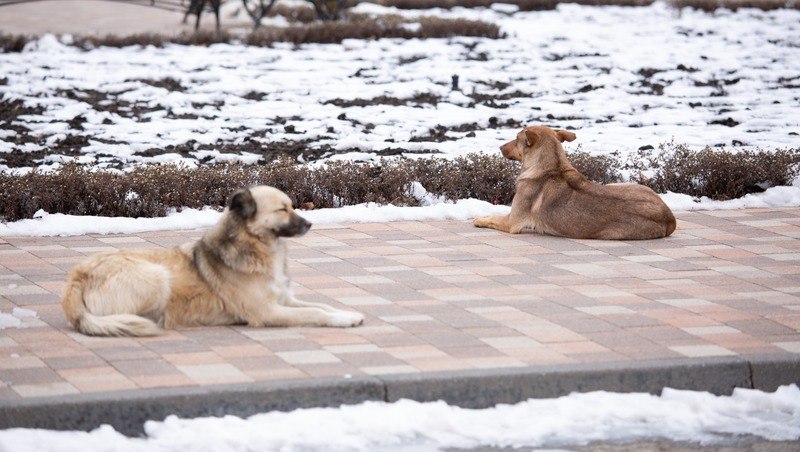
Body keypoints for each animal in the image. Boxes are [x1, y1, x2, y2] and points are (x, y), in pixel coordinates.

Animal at [62, 185, 362, 336]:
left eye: (291, 206)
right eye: (282, 209)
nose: (310, 223)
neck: (257, 248)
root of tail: (76, 279)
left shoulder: (284, 300)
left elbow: (322, 306)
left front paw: (347, 314)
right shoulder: (267, 312)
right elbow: (315, 313)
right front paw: (341, 321)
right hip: (156, 276)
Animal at [476, 125, 676, 240]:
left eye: (517, 139)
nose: (500, 147)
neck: (552, 167)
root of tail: (669, 217)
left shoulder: (511, 223)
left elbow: (492, 218)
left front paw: (479, 219)